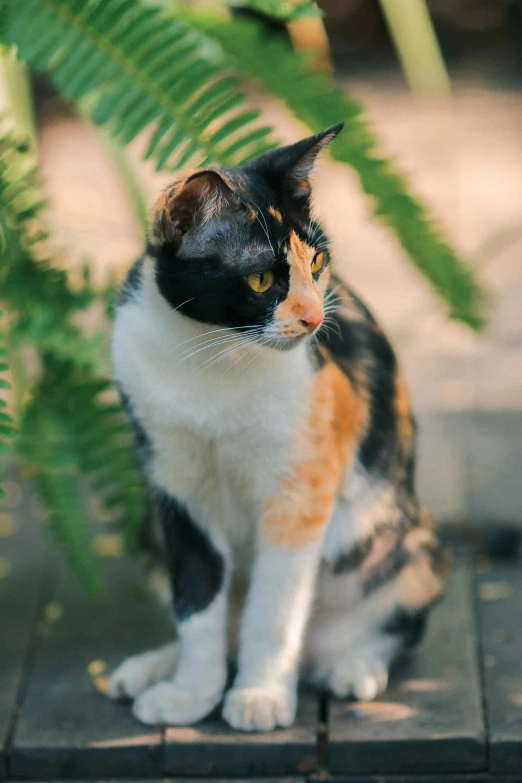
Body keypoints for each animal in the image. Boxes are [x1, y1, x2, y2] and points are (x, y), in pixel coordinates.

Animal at [106, 122, 446, 736]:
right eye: (262, 278)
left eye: (318, 262)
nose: (315, 318)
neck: (210, 358)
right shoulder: (176, 487)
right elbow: (195, 599)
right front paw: (190, 694)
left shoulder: (303, 487)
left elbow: (274, 606)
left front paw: (260, 695)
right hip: (150, 524)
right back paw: (153, 667)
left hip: (413, 543)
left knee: (397, 622)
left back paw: (352, 665)